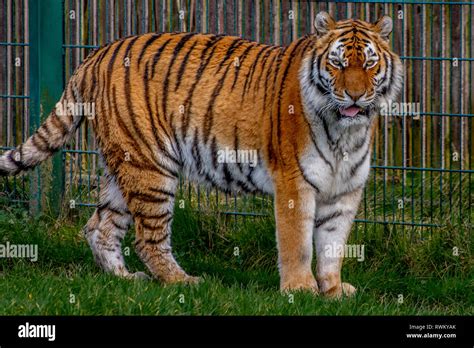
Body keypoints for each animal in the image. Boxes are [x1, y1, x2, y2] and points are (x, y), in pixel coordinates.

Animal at [0, 12, 402, 298]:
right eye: (337, 64)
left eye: (369, 64)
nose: (354, 96)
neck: (345, 132)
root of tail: (94, 55)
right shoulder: (294, 184)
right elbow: (298, 242)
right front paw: (300, 291)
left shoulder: (345, 191)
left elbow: (333, 244)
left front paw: (332, 290)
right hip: (151, 168)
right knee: (147, 238)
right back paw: (183, 282)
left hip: (124, 166)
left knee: (99, 226)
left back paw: (126, 279)